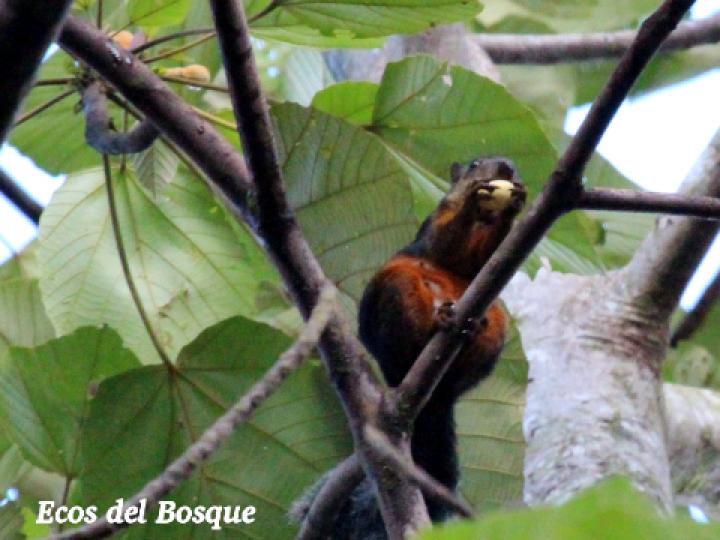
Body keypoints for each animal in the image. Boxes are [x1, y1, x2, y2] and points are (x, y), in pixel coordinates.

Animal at [291, 157, 527, 538]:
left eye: (515, 167)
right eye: (475, 164)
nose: (506, 166)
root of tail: (436, 396)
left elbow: (482, 259)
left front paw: (514, 205)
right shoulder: (433, 226)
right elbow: (449, 245)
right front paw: (476, 202)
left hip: (497, 320)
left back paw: (471, 331)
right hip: (397, 289)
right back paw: (438, 324)